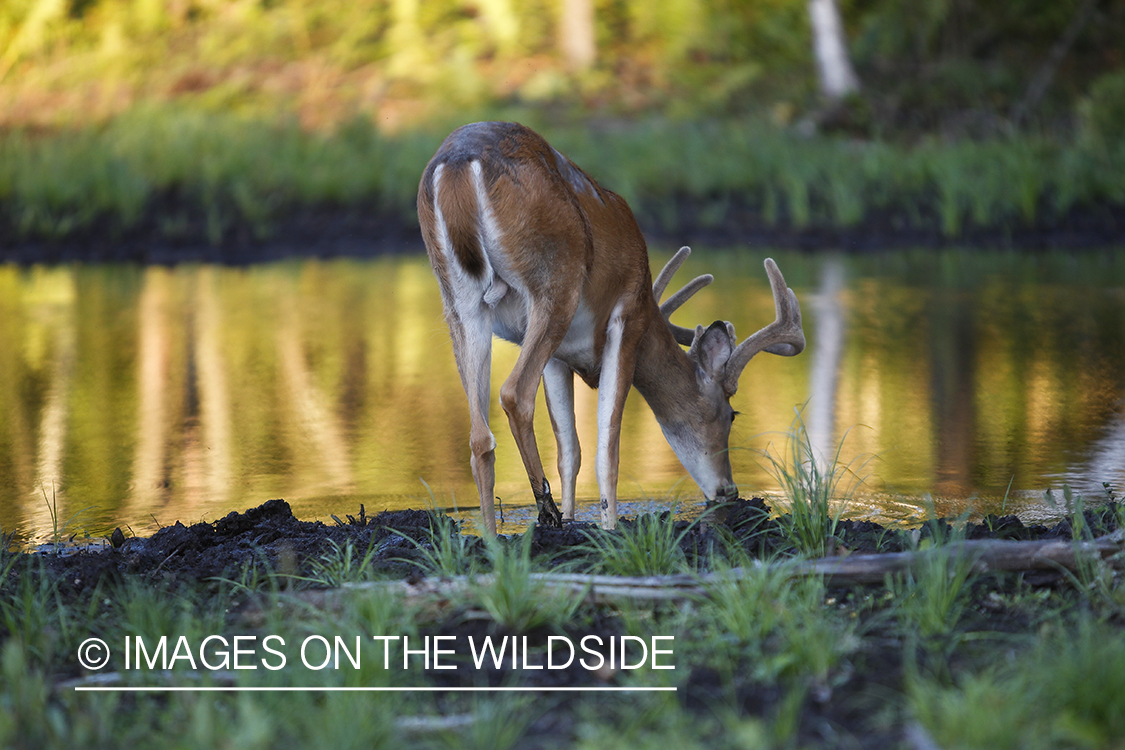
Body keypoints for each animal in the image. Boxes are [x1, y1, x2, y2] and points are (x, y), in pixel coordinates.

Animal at [417, 122, 805, 535]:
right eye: (732, 415)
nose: (728, 490)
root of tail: (457, 165)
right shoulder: (627, 318)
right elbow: (608, 449)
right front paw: (608, 527)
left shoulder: (559, 358)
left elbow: (570, 450)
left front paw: (574, 518)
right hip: (554, 281)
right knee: (513, 393)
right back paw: (544, 508)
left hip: (458, 300)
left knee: (479, 434)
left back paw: (493, 536)